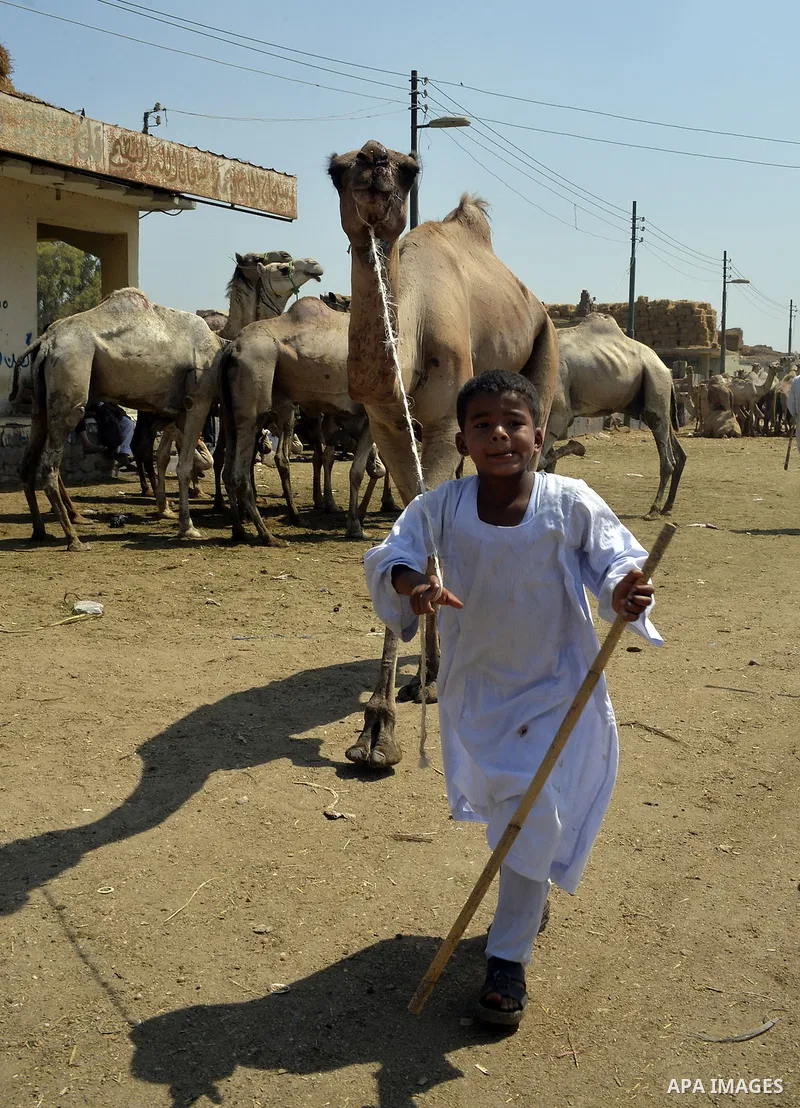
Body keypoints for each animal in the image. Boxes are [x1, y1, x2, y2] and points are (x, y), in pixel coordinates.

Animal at [327, 139, 559, 768]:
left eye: (409, 169)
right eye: (336, 170)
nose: (375, 161)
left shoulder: (442, 423)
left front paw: (379, 732)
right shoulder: (388, 427)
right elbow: (416, 526)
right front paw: (402, 698)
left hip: (545, 357)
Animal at [543, 314, 686, 518]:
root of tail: (666, 369)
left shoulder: (559, 412)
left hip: (656, 380)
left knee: (666, 453)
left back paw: (653, 510)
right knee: (677, 451)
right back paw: (667, 507)